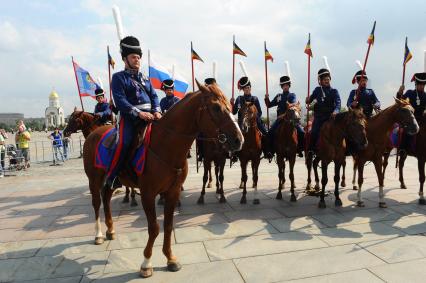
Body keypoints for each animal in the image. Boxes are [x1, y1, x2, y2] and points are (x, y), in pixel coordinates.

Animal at [83, 81, 243, 278]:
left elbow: (167, 225)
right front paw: (146, 263)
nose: (239, 139)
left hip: (111, 180)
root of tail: (94, 133)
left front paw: (170, 259)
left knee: (106, 199)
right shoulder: (148, 194)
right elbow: (154, 228)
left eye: (230, 106)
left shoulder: (172, 192)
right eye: (216, 108)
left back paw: (111, 230)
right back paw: (98, 234)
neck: (165, 146)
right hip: (94, 180)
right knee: (97, 203)